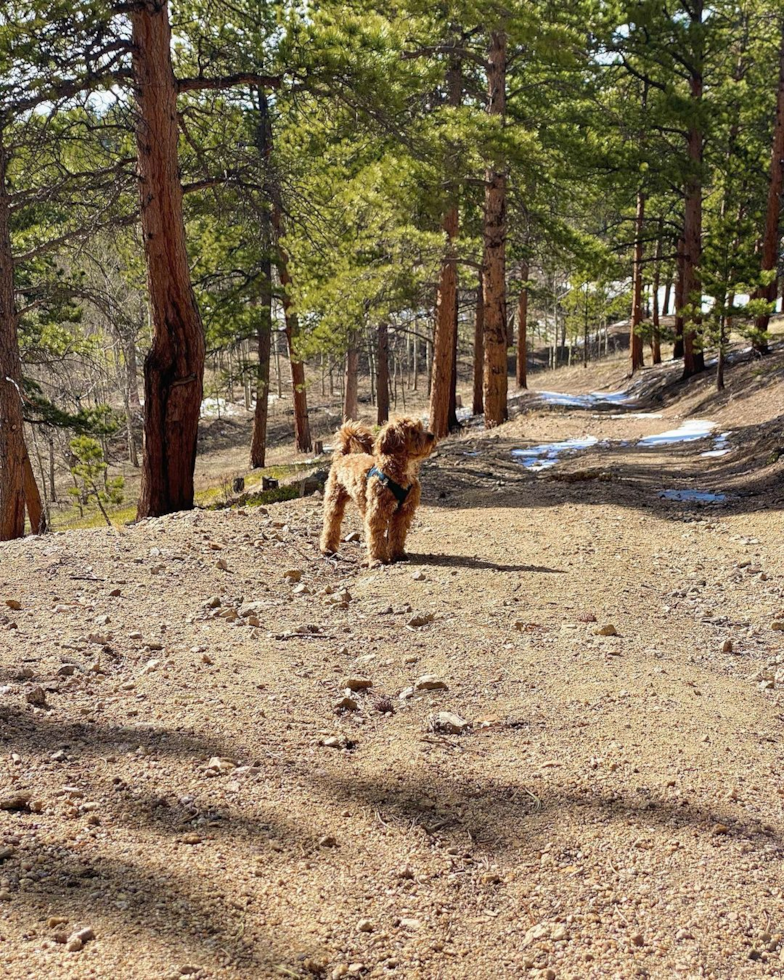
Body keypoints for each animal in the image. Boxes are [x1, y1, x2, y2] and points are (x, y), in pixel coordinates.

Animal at [322, 416, 438, 568]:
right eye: (413, 431)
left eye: (421, 427)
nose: (431, 435)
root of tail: (344, 456)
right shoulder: (378, 512)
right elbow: (376, 536)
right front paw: (377, 559)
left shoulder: (403, 512)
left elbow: (398, 534)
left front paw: (397, 554)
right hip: (334, 499)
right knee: (331, 522)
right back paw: (327, 548)